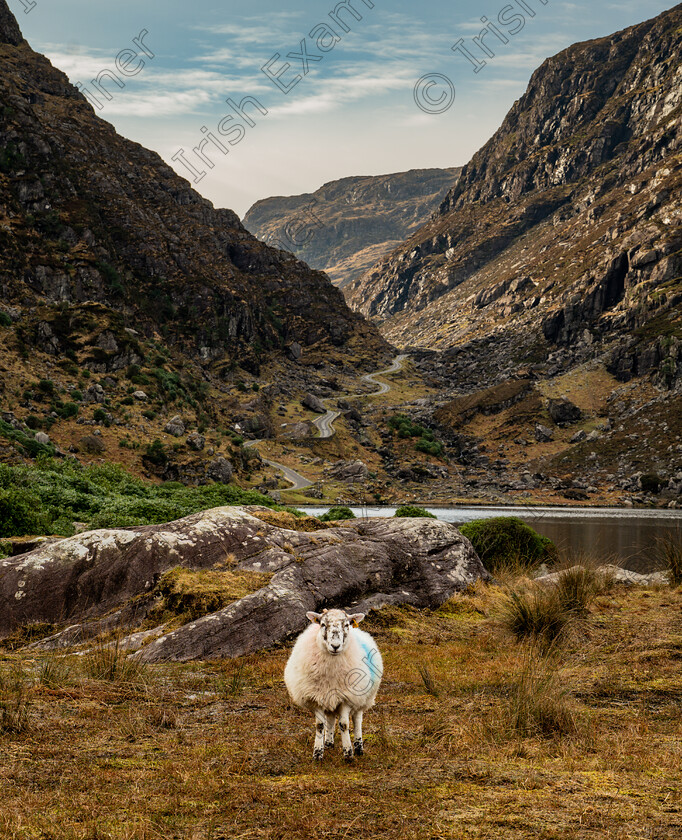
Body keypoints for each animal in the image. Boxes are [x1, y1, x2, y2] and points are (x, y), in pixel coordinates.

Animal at [282, 608, 382, 756]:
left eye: (346, 625)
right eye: (323, 624)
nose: (335, 646)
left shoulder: (346, 698)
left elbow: (344, 724)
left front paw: (348, 753)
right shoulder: (315, 697)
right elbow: (319, 725)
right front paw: (318, 752)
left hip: (363, 698)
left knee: (357, 719)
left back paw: (358, 747)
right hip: (329, 697)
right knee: (330, 718)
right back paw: (329, 743)